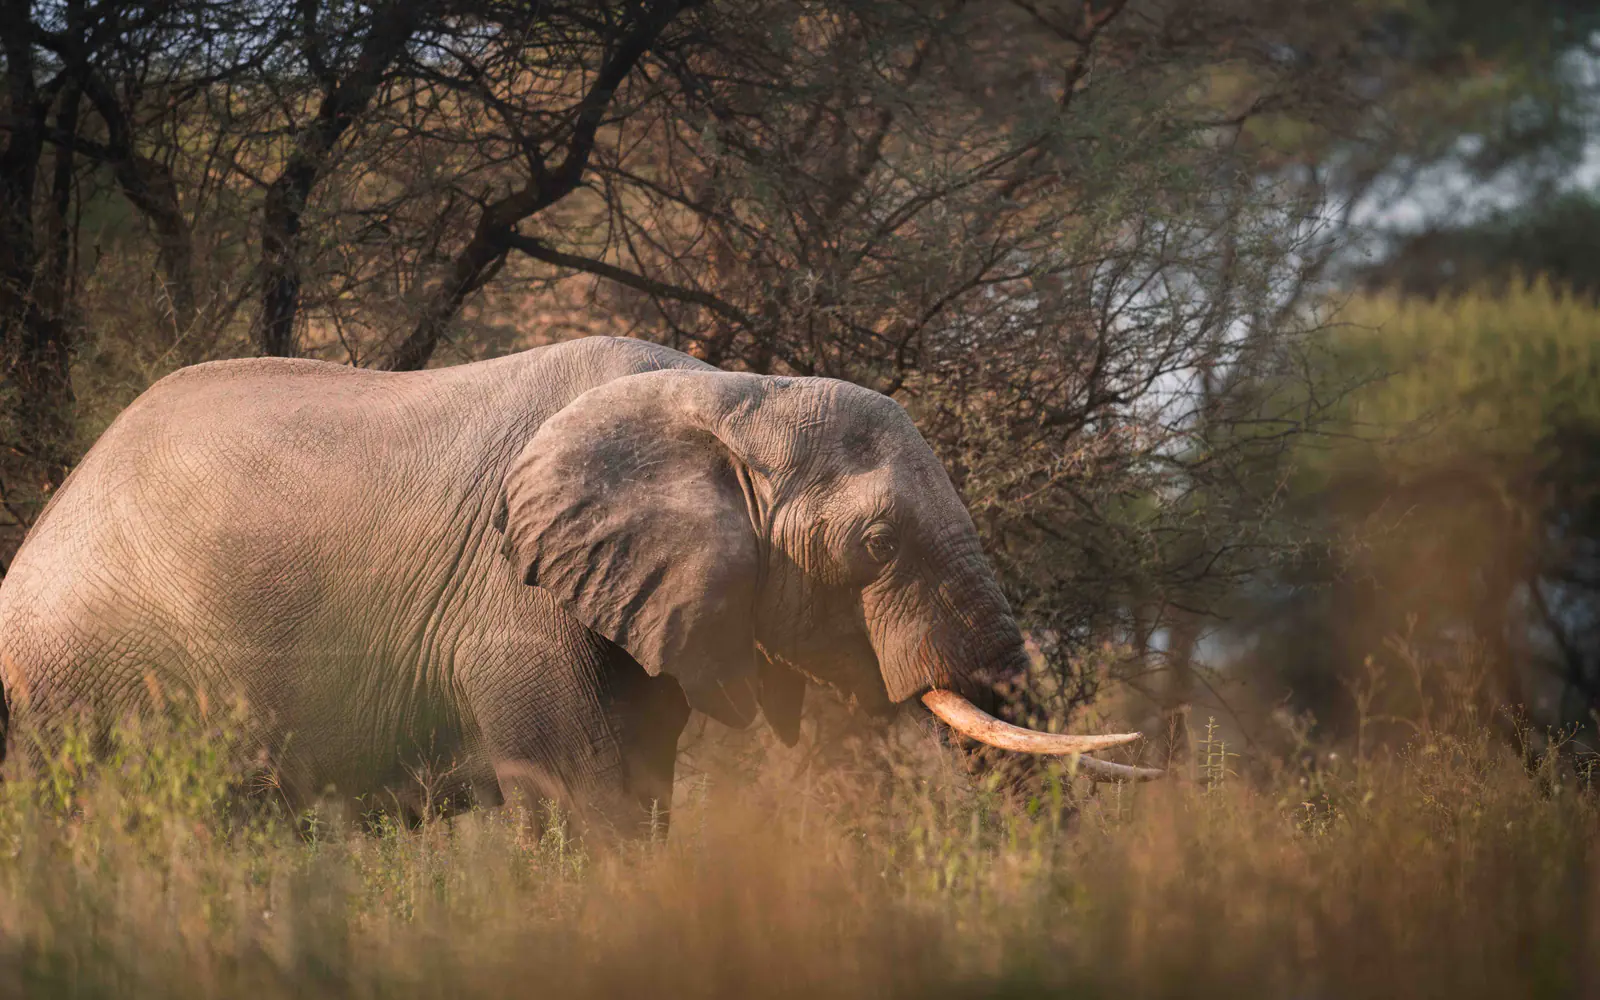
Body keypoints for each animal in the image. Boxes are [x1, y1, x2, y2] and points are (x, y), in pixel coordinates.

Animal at [0, 336, 1157, 835]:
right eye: (874, 543)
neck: (729, 391)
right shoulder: (515, 600)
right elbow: (585, 794)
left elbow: (640, 789)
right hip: (92, 675)